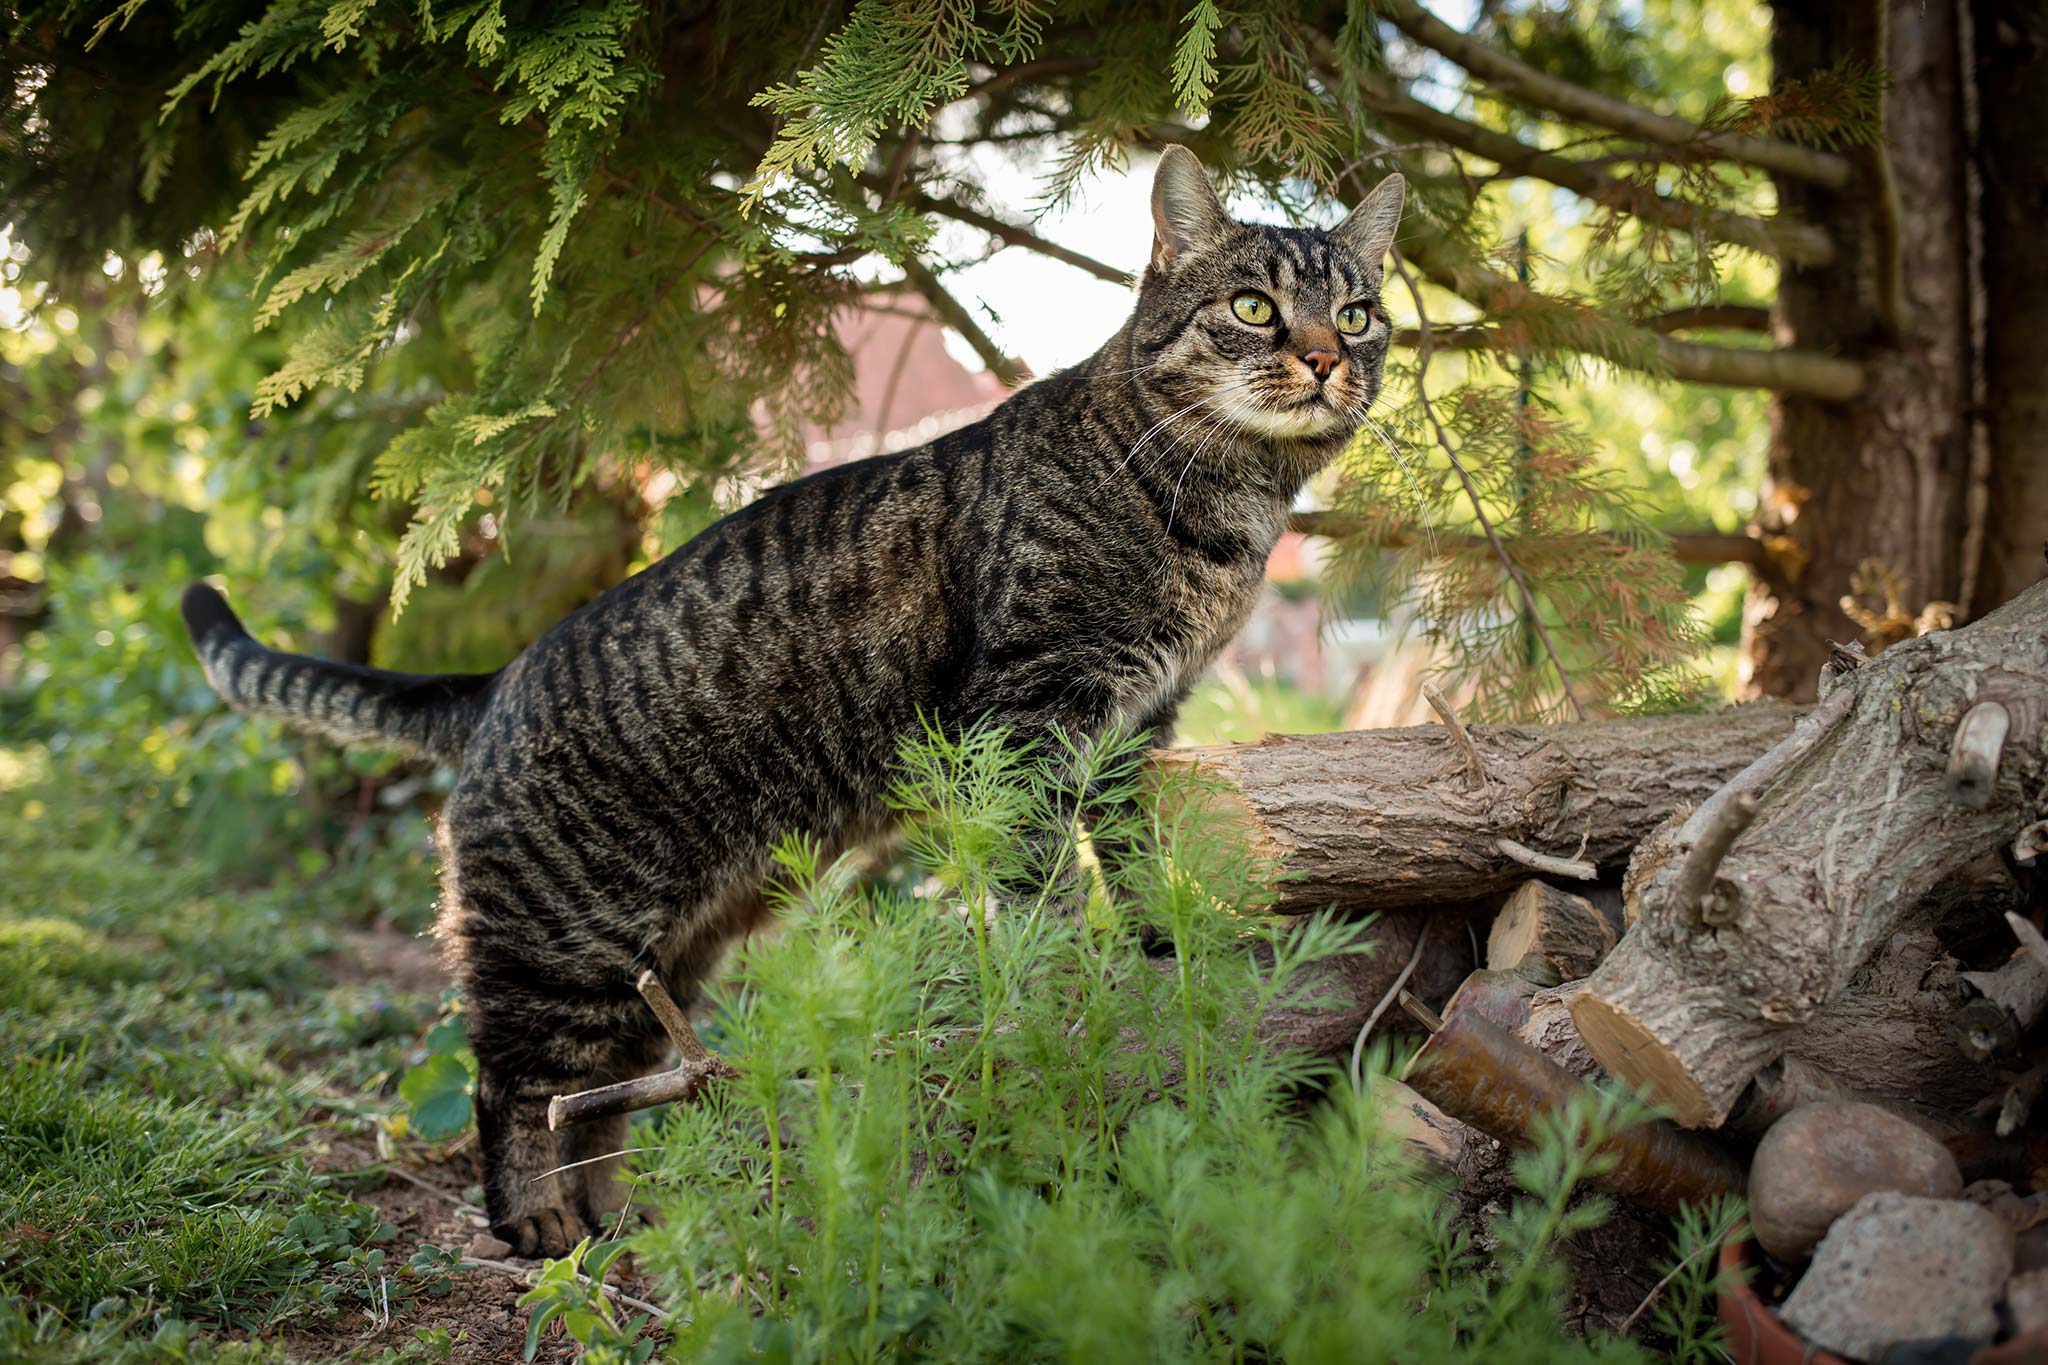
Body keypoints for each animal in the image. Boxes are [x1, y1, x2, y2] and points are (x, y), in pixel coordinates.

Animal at [188, 147, 1409, 1252]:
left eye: (1355, 314)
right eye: (1253, 308)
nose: (1321, 359)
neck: (1222, 518)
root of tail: (497, 680)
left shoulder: (1138, 725)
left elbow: (1138, 854)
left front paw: (1162, 954)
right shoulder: (1030, 716)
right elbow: (1045, 888)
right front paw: (1082, 978)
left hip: (663, 962)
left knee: (605, 1095)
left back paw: (611, 1219)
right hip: (560, 944)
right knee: (513, 1081)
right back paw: (535, 1221)